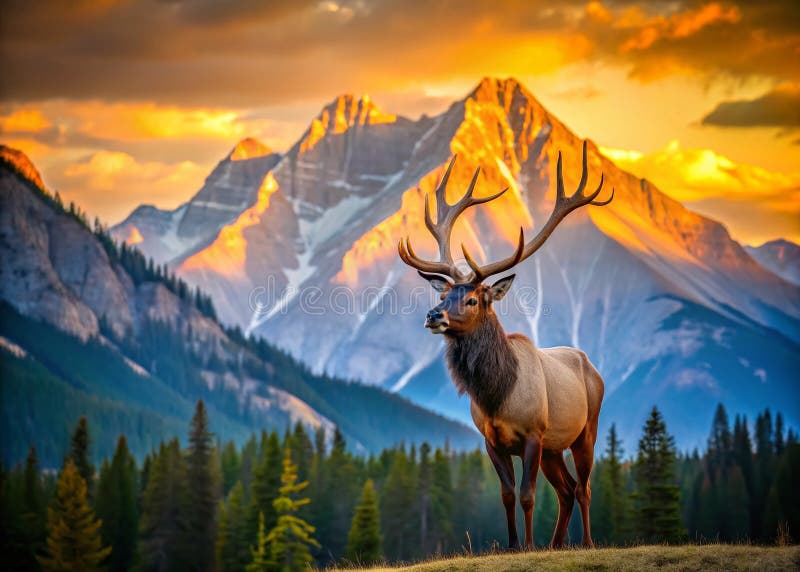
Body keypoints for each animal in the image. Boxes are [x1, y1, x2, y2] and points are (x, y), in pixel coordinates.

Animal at [397, 142, 613, 551]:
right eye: (445, 294)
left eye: (472, 299)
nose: (433, 315)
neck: (497, 397)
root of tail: (592, 365)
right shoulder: (492, 441)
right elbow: (508, 495)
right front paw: (514, 545)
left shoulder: (532, 434)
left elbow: (528, 495)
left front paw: (527, 545)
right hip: (554, 448)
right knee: (566, 490)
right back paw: (555, 544)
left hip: (585, 431)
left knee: (584, 488)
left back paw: (587, 542)